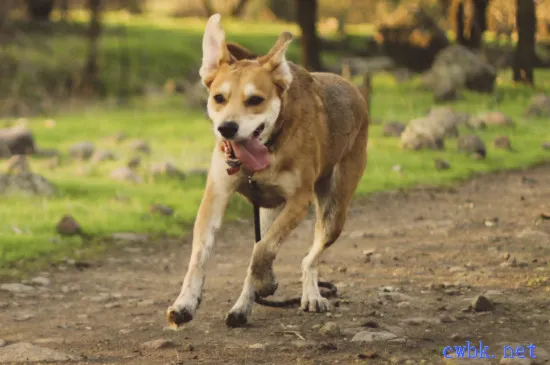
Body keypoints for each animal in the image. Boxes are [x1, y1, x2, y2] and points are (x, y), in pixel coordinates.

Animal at [167, 14, 370, 328]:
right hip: (267, 211)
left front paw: (265, 280)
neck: (270, 146)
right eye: (219, 98)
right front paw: (185, 304)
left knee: (308, 258)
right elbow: (200, 255)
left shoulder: (299, 200)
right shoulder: (216, 195)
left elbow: (263, 250)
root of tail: (353, 89)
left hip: (335, 209)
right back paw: (242, 308)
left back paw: (308, 294)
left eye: (255, 100)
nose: (227, 128)